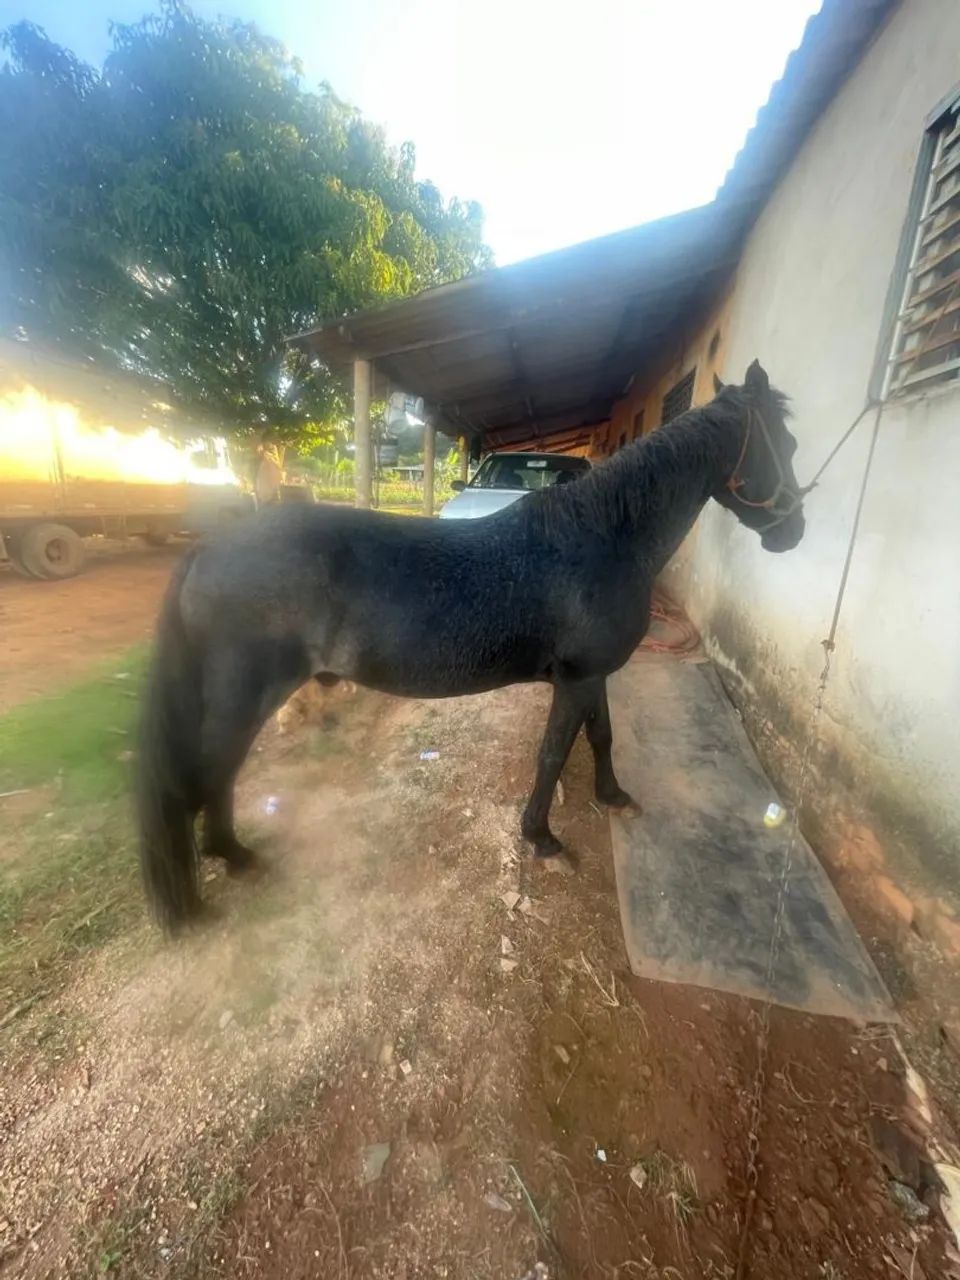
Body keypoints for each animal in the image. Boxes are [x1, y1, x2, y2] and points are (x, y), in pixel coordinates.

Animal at [137, 360, 806, 931]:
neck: (604, 538)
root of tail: (211, 547)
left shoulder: (593, 675)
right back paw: (231, 858)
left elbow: (601, 735)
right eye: (787, 444)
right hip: (243, 696)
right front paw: (542, 838)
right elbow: (553, 754)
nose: (793, 531)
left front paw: (613, 796)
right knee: (213, 773)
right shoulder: (578, 678)